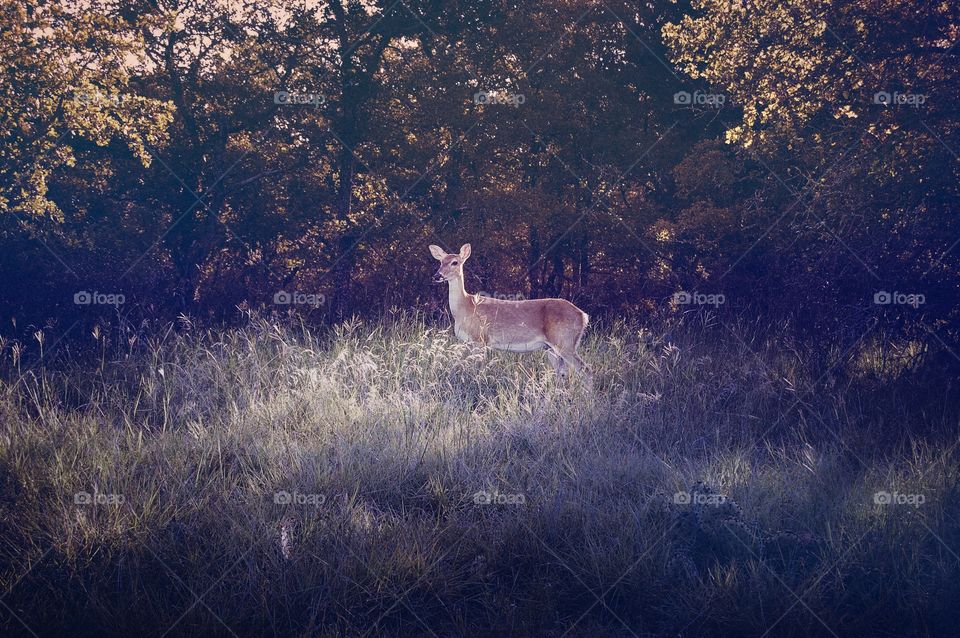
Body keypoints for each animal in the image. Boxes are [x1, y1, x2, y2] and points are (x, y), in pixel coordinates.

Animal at [430, 242, 592, 378]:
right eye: (440, 262)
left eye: (455, 262)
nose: (437, 275)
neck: (465, 307)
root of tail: (583, 315)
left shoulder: (480, 339)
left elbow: (477, 368)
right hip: (552, 348)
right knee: (563, 373)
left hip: (565, 341)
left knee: (586, 370)